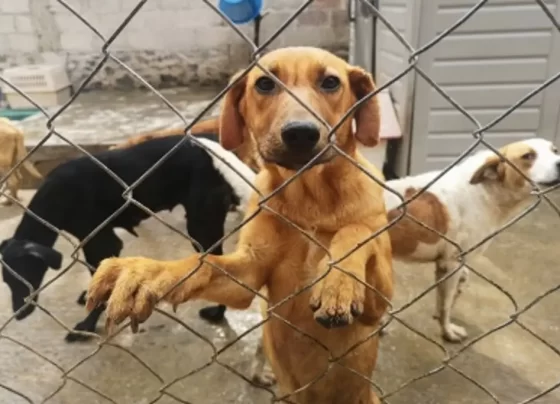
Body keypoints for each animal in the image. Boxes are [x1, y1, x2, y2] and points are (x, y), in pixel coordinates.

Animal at [1, 133, 254, 342]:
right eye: (7, 281)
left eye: (25, 274)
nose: (19, 314)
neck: (55, 195)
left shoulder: (101, 242)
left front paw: (87, 325)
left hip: (201, 226)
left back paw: (217, 312)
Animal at [86, 47, 394, 403]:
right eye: (264, 84)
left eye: (331, 82)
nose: (301, 133)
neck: (309, 200)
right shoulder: (248, 276)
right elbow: (202, 263)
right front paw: (146, 273)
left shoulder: (377, 304)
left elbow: (356, 231)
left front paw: (338, 283)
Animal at [382, 138, 560, 342]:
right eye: (528, 156)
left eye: (555, 150)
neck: (485, 190)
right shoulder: (452, 263)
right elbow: (446, 304)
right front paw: (448, 332)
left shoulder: (447, 264)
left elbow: (450, 293)